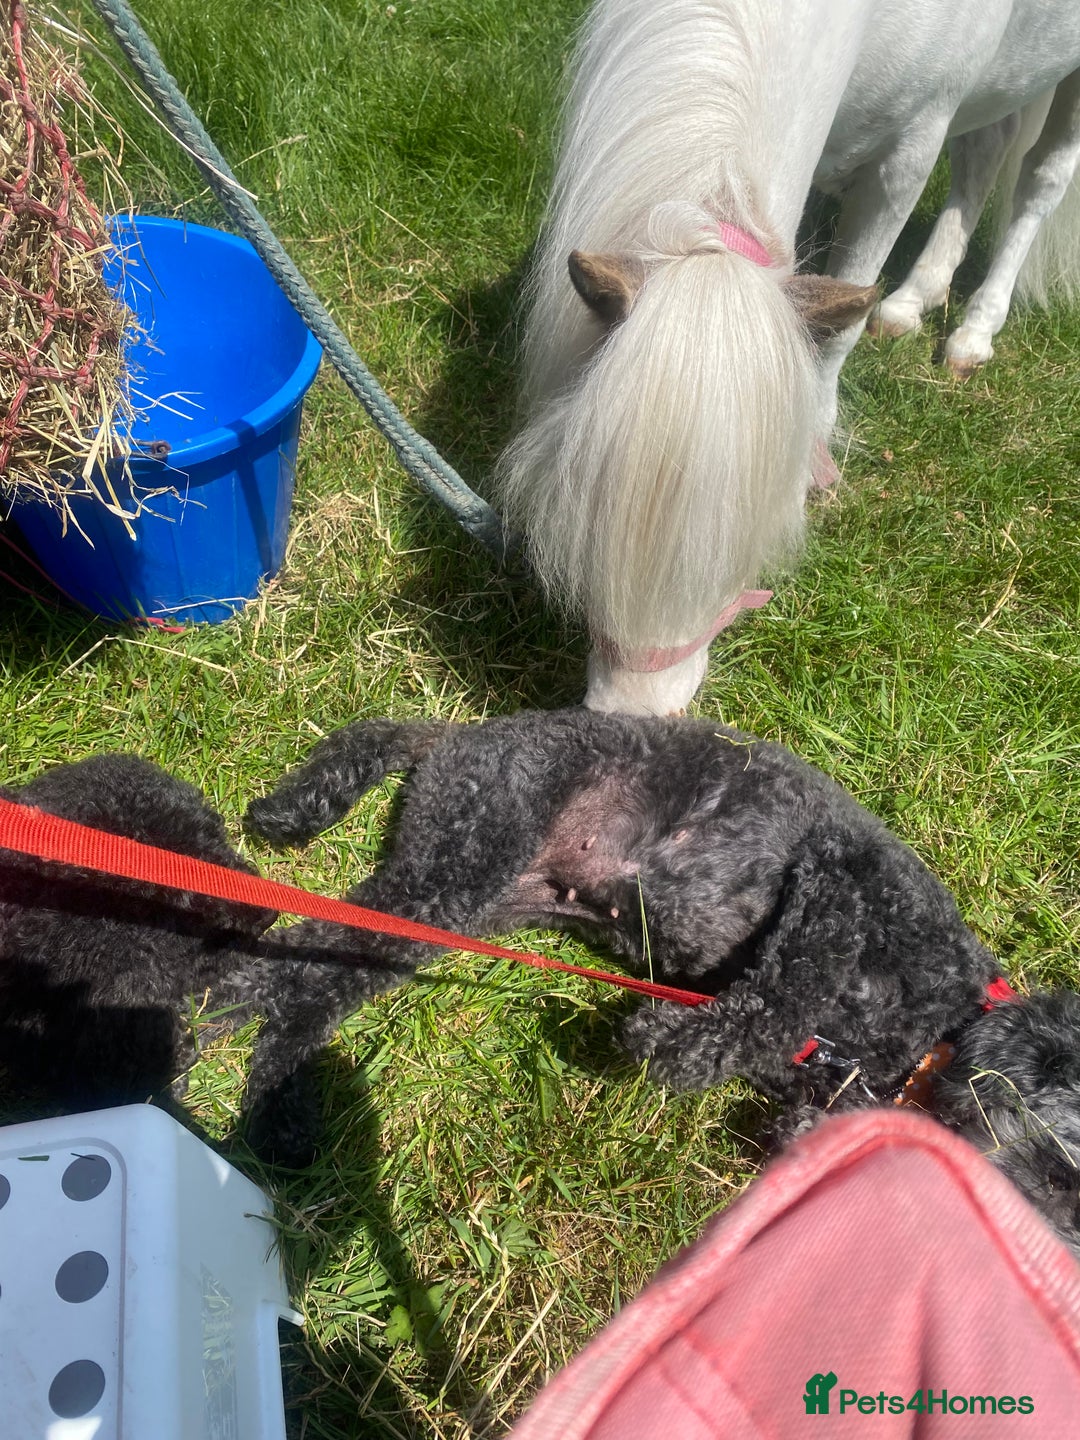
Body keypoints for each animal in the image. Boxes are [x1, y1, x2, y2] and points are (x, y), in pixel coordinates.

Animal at [495, 0, 1080, 714]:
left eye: (743, 543)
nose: (634, 714)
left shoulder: (907, 153)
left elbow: (841, 322)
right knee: (986, 150)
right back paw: (912, 301)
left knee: (1042, 178)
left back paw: (975, 332)